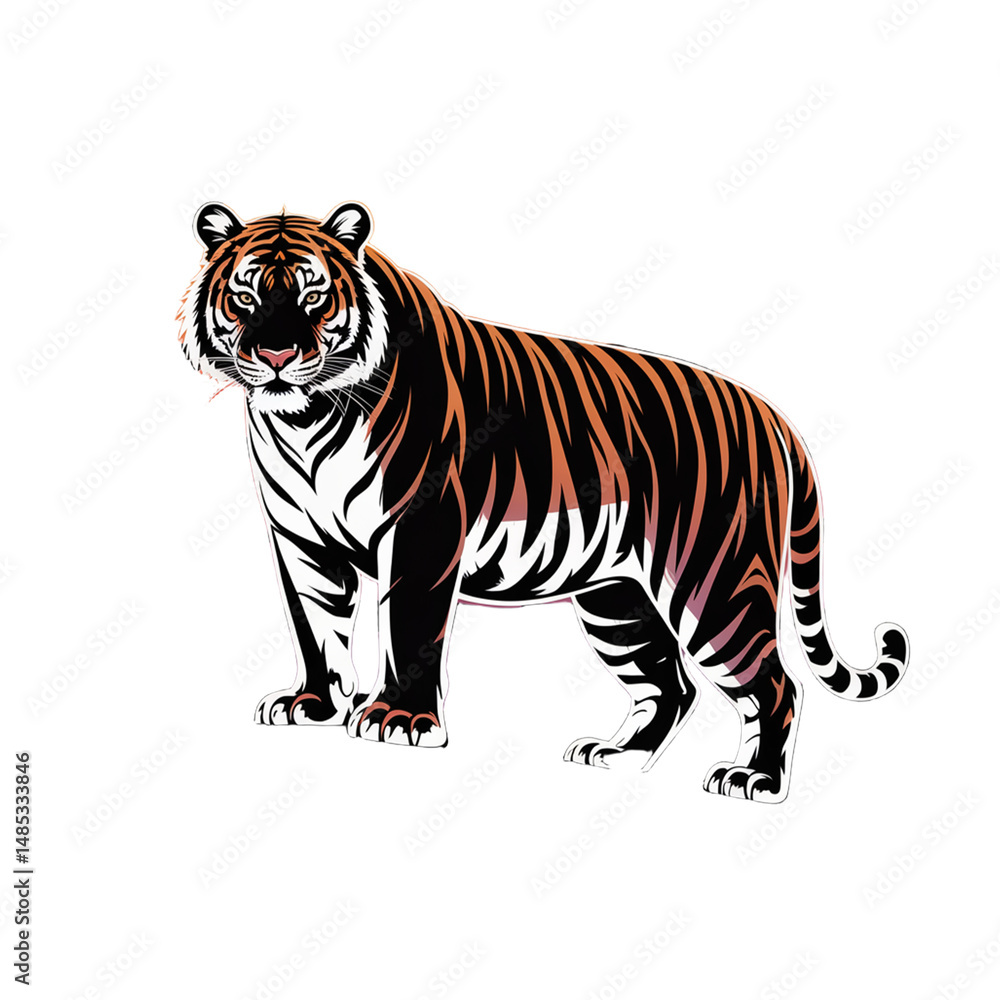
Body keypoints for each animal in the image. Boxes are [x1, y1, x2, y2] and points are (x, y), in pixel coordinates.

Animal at [177, 200, 909, 802]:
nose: (275, 354)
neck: (305, 417)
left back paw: (754, 780)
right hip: (618, 598)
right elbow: (314, 627)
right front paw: (315, 705)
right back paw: (618, 755)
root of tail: (773, 416)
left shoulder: (423, 529)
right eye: (244, 296)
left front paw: (399, 719)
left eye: (314, 297)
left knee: (773, 683)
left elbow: (409, 629)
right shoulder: (301, 542)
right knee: (670, 684)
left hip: (714, 582)